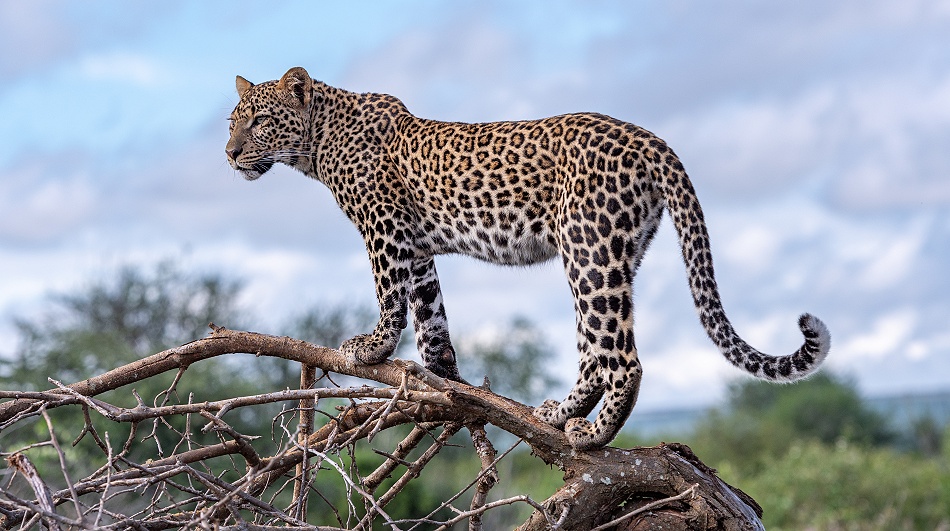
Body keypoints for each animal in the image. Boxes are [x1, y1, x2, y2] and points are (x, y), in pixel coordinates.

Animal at [225, 67, 831, 450]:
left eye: (259, 121)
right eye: (233, 121)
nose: (229, 153)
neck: (316, 143)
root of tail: (652, 139)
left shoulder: (386, 231)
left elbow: (390, 296)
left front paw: (371, 348)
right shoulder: (417, 248)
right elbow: (430, 311)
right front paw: (444, 379)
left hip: (589, 248)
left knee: (622, 357)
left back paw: (594, 434)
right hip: (613, 253)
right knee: (594, 348)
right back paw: (560, 413)